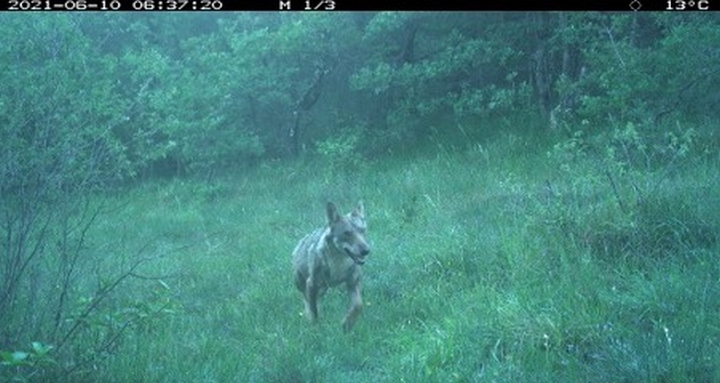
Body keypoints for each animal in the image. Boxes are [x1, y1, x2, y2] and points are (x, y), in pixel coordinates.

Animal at [292, 201, 372, 332]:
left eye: (363, 231)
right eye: (347, 233)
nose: (366, 251)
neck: (339, 264)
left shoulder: (353, 283)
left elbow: (358, 305)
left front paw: (347, 324)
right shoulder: (311, 284)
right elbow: (314, 312)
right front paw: (316, 328)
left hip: (323, 289)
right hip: (302, 283)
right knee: (307, 301)